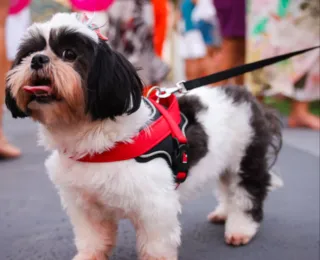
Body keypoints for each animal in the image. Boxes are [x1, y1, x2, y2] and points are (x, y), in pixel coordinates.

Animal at [5, 13, 282, 260]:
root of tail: (245, 96)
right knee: (227, 187)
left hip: (245, 157)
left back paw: (241, 228)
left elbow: (155, 246)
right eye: (28, 54)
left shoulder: (155, 206)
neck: (94, 140)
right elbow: (92, 239)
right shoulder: (86, 205)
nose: (37, 59)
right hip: (225, 160)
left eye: (69, 54)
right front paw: (89, 256)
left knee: (247, 192)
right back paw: (224, 212)